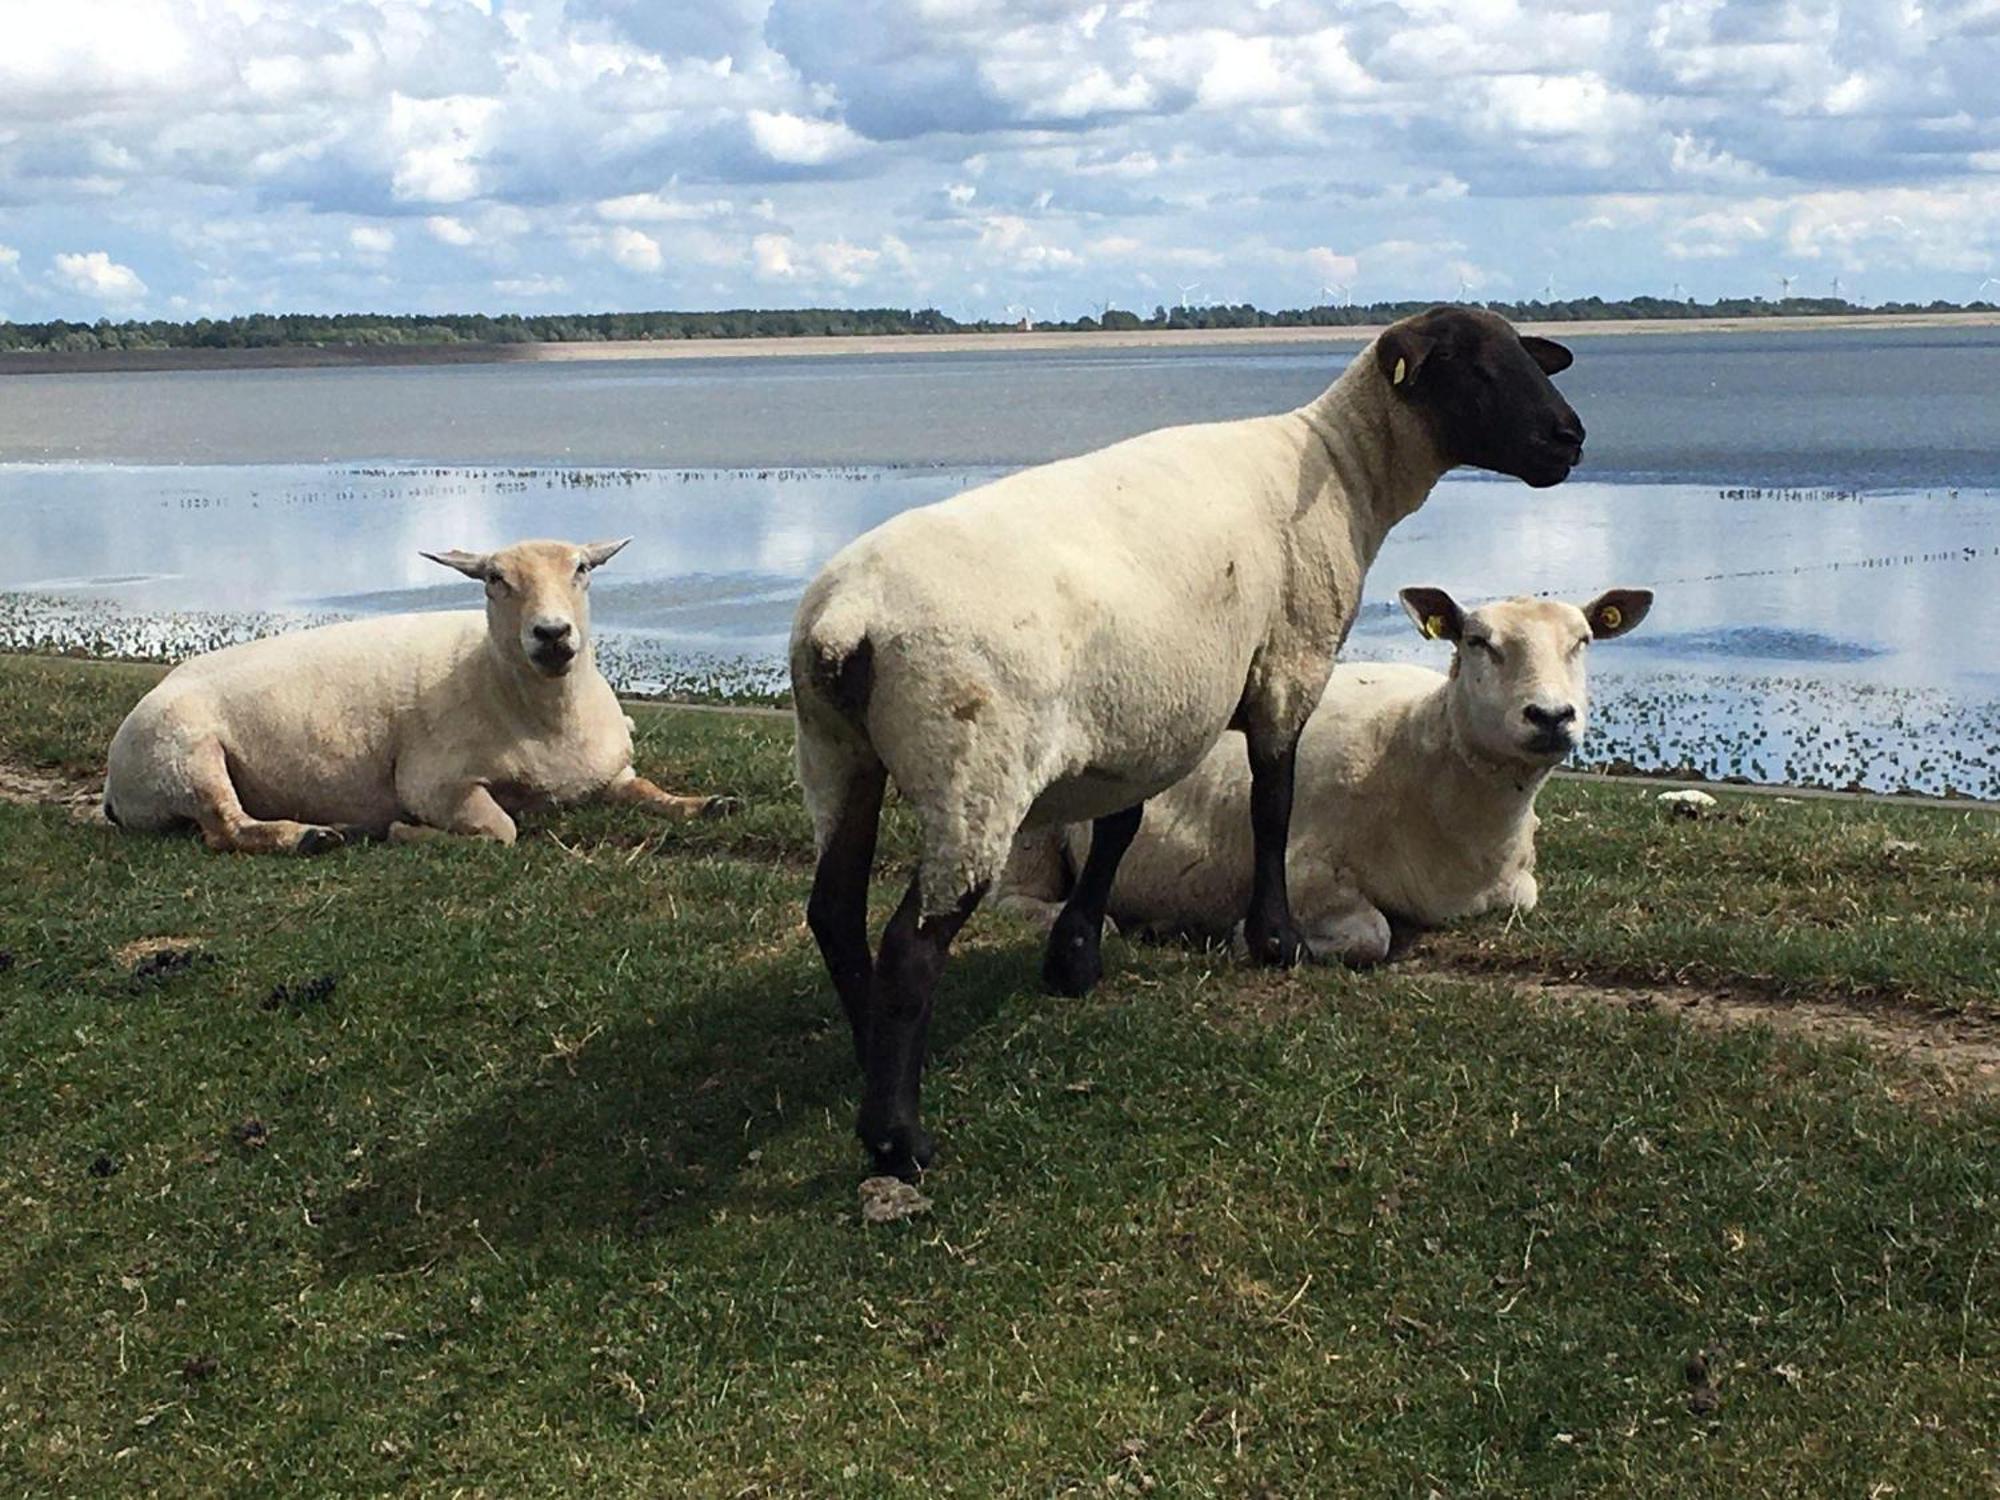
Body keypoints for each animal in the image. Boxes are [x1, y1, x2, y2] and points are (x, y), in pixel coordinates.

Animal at [103, 536, 736, 856]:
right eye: (494, 579)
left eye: (582, 568)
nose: (553, 634)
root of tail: (113, 786)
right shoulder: (436, 783)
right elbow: (500, 831)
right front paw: (405, 831)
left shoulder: (611, 772)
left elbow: (648, 791)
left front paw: (708, 803)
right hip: (185, 758)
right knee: (224, 828)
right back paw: (311, 837)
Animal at [788, 306, 1584, 1184]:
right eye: (1476, 367)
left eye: (1528, 357)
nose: (1570, 437)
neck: (1341, 468)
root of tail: (847, 621)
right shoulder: (1286, 667)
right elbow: (1273, 804)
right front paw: (1275, 942)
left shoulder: (1146, 713)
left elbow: (1122, 827)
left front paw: (1075, 959)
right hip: (972, 765)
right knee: (911, 946)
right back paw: (898, 1138)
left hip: (836, 752)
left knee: (833, 910)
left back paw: (867, 1050)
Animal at [1000, 584, 1656, 964]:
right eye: (1477, 640)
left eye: (1584, 640)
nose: (1550, 716)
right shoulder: (1303, 867)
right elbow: (1373, 935)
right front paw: (1245, 937)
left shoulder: (1516, 884)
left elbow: (1523, 897)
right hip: (1031, 832)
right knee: (1015, 899)